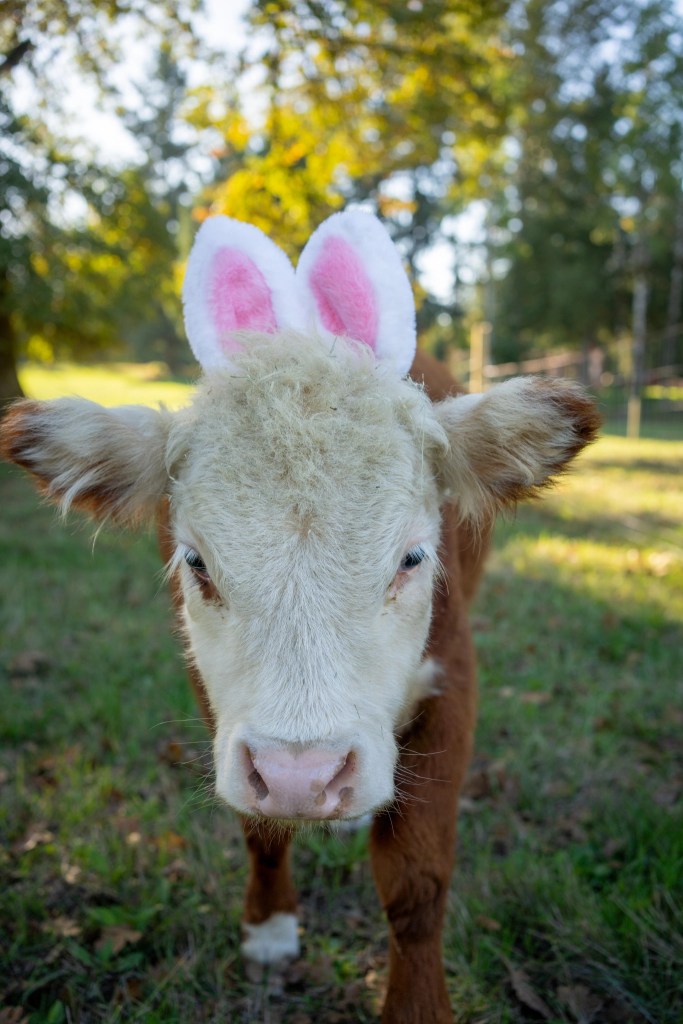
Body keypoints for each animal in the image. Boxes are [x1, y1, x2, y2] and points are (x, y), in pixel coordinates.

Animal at [0, 211, 599, 1023]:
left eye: (413, 557)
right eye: (196, 562)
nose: (301, 776)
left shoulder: (453, 682)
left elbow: (416, 880)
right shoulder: (215, 697)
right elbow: (260, 831)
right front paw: (270, 930)